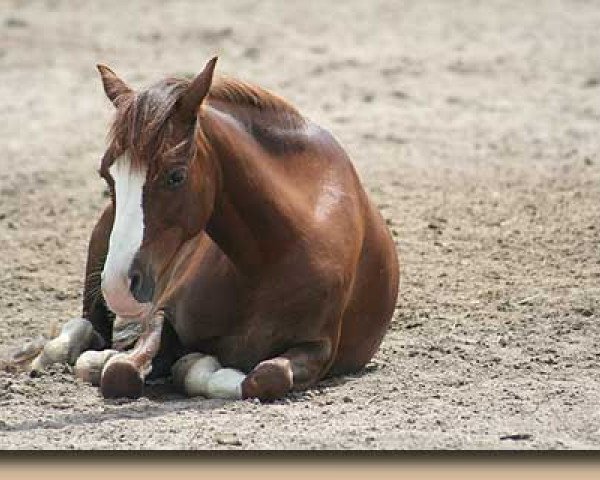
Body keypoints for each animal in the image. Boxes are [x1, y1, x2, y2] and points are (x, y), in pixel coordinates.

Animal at [24, 56, 398, 402]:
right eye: (106, 175)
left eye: (176, 176)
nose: (118, 285)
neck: (269, 258)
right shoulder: (163, 313)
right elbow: (120, 372)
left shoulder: (318, 348)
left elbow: (265, 377)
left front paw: (192, 367)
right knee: (90, 326)